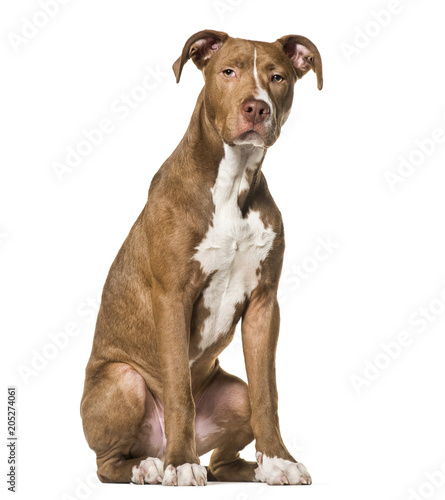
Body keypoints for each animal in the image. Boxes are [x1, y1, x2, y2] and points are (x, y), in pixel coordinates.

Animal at [80, 29, 322, 486]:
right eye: (227, 72)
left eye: (277, 76)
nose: (256, 107)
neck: (232, 182)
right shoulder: (173, 297)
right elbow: (178, 388)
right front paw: (180, 463)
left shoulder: (264, 302)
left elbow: (267, 393)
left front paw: (278, 459)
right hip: (122, 379)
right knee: (107, 464)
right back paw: (152, 465)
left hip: (233, 395)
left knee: (225, 451)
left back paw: (245, 468)